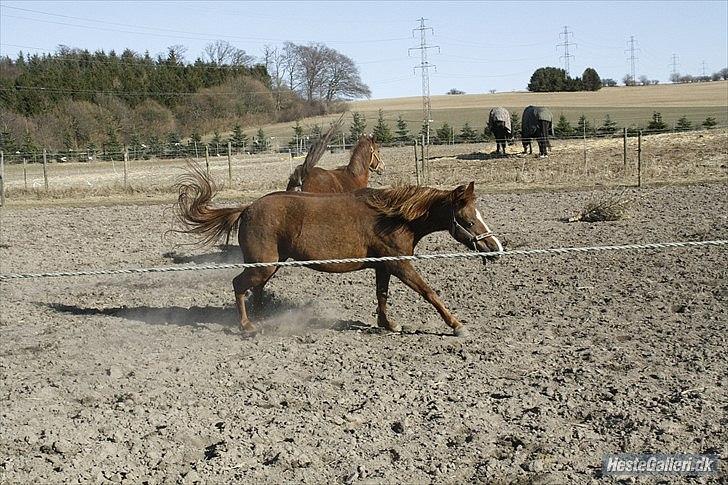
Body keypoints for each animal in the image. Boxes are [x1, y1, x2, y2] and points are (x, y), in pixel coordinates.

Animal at [174, 164, 504, 334]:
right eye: (467, 219)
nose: (495, 248)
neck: (394, 217)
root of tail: (245, 209)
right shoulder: (400, 264)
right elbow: (429, 292)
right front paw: (456, 325)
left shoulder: (384, 265)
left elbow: (382, 296)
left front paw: (387, 323)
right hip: (263, 265)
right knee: (239, 285)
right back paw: (247, 326)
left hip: (270, 265)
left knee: (255, 289)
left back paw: (263, 317)